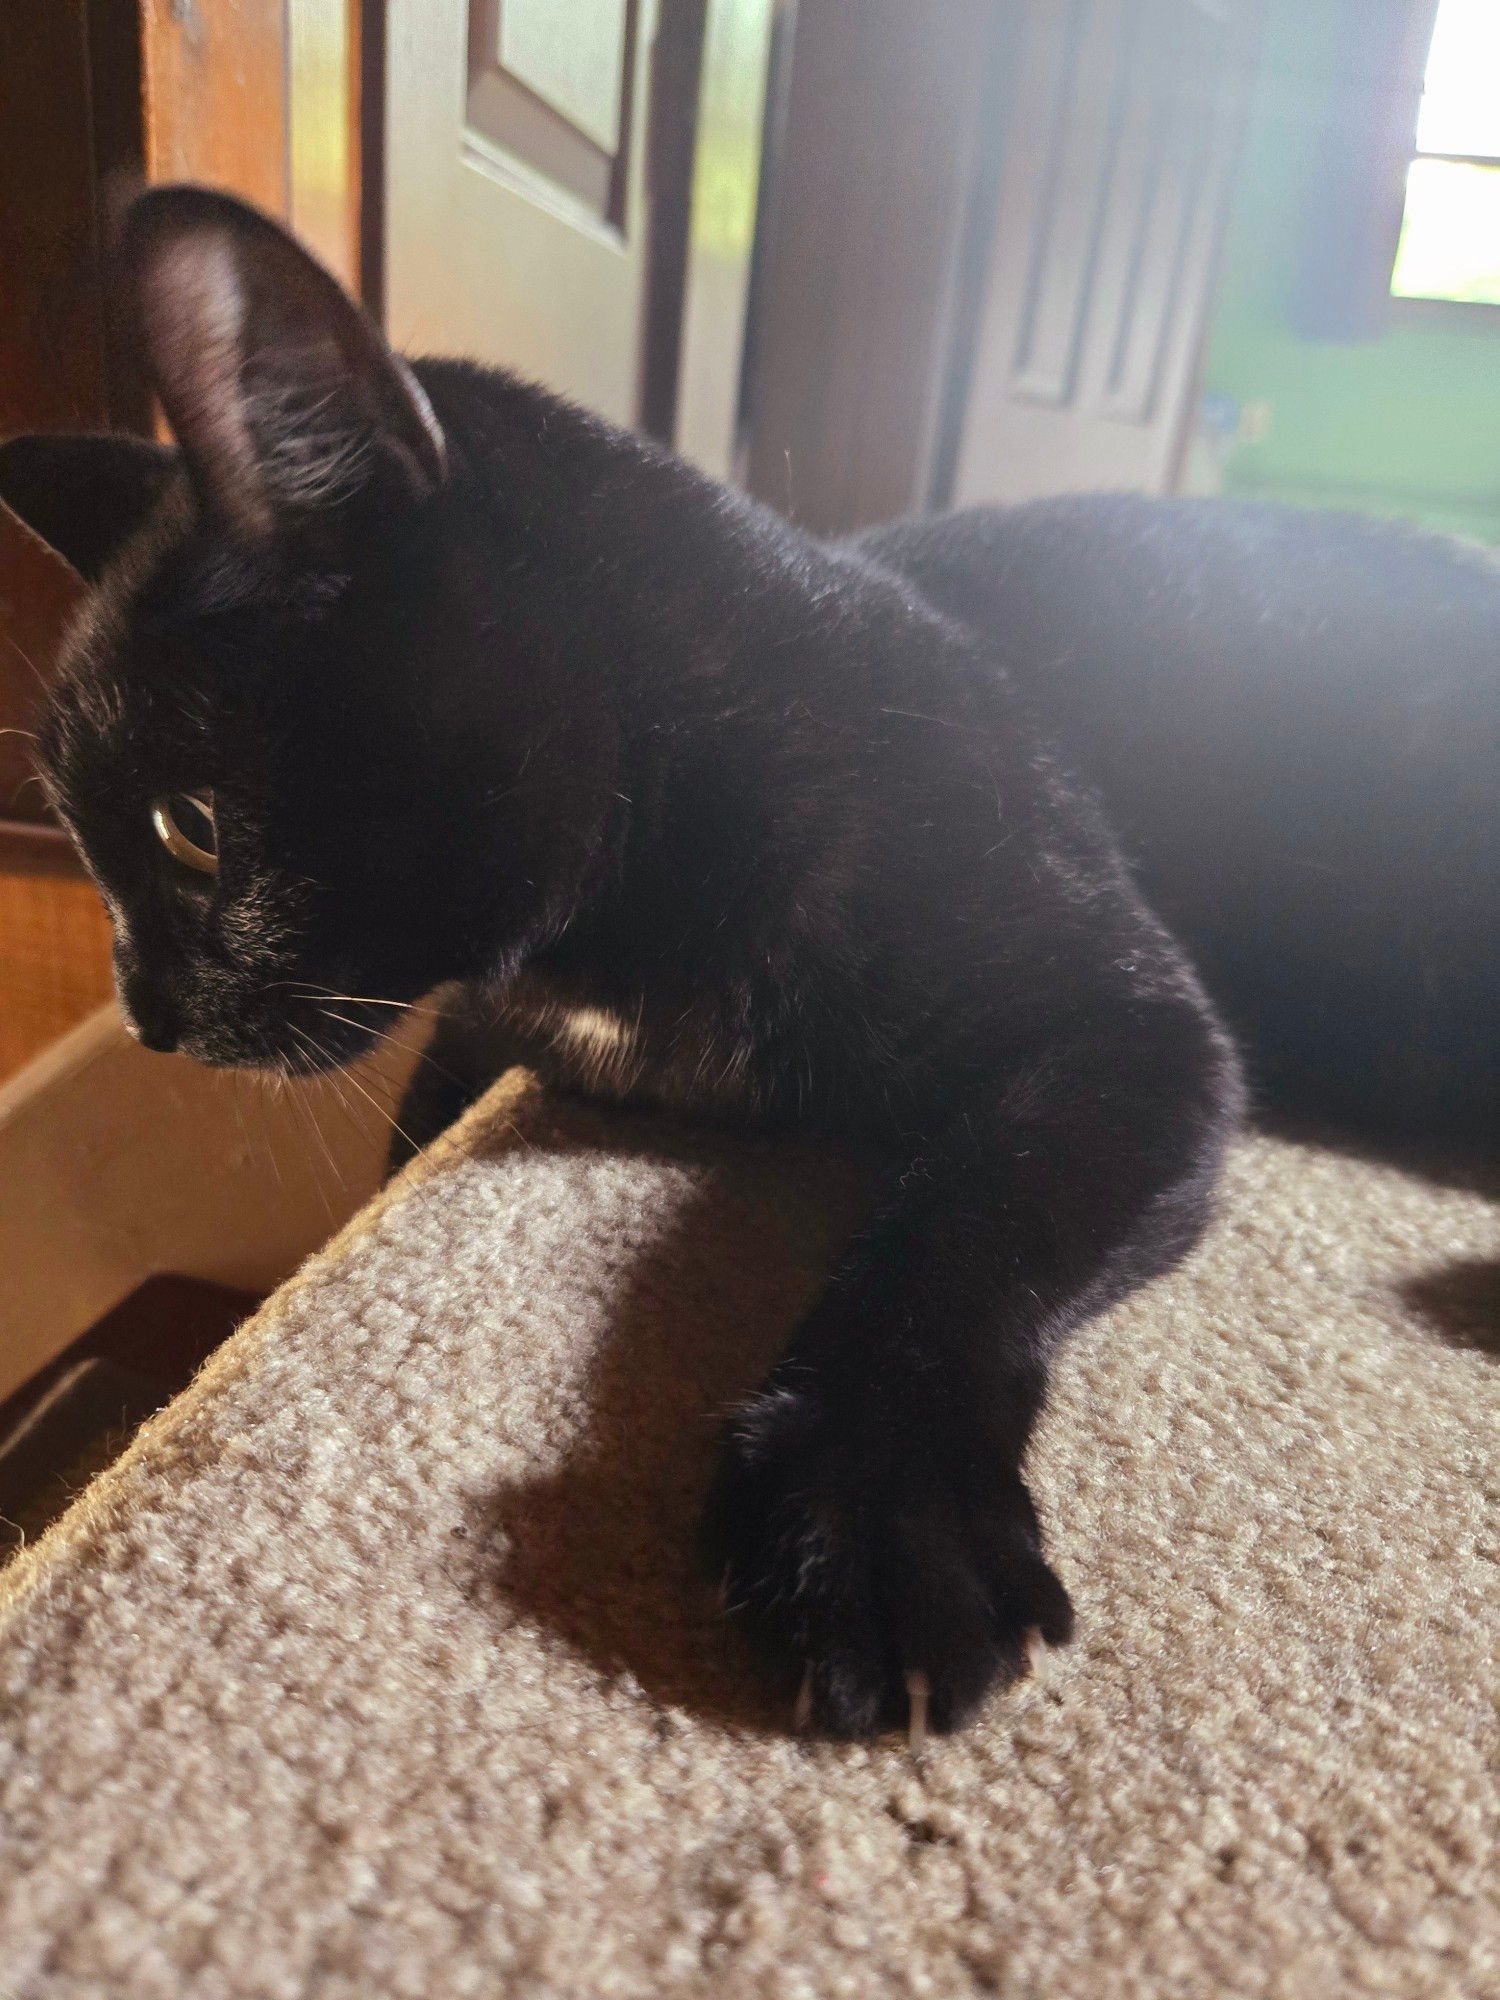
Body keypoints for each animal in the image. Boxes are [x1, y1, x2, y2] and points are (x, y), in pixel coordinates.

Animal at [0, 195, 1496, 1744]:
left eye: (186, 830)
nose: (143, 1011)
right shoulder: (481, 1032)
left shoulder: (1127, 1024)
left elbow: (962, 1231)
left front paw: (869, 1513)